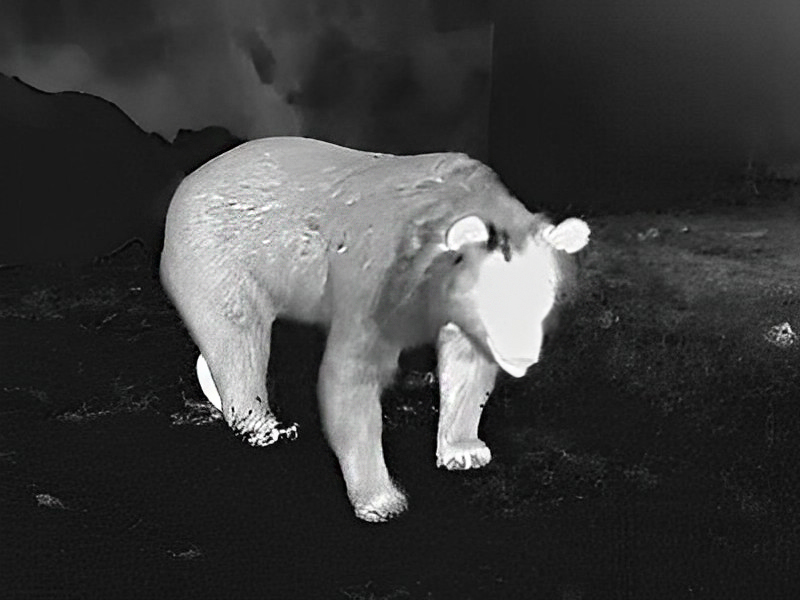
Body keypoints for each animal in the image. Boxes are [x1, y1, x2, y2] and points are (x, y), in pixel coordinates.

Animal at [160, 136, 590, 522]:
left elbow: (467, 366)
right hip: (217, 256)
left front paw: (464, 451)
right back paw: (264, 425)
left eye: (541, 299)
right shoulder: (379, 273)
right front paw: (382, 501)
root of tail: (186, 187)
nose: (523, 358)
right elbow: (351, 376)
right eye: (499, 300)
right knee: (238, 333)